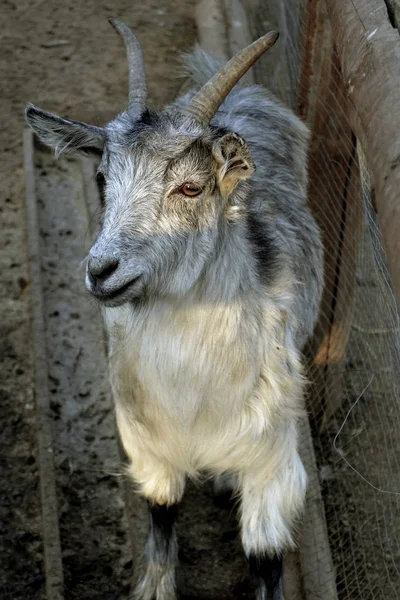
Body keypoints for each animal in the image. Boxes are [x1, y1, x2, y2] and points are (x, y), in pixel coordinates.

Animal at [25, 18, 324, 600]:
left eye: (190, 187)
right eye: (102, 179)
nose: (102, 270)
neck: (196, 391)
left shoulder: (273, 459)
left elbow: (265, 557)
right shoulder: (146, 437)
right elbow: (161, 512)